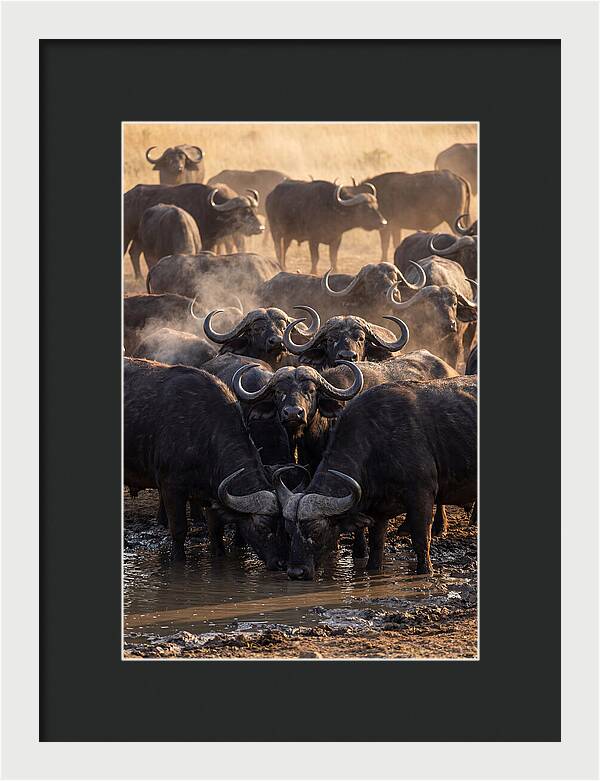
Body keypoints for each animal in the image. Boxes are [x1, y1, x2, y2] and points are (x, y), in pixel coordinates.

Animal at [280, 375, 477, 579]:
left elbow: (421, 541)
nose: (296, 572)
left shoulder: (422, 495)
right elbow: (376, 546)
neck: (376, 444)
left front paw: (426, 571)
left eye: (316, 531)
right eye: (288, 530)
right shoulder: (378, 511)